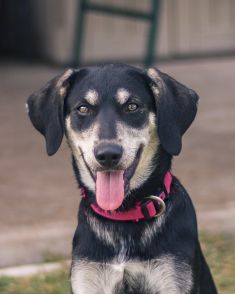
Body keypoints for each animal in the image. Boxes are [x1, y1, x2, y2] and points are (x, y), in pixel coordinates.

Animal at [26, 63, 218, 292]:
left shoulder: (173, 278)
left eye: (132, 106)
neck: (123, 217)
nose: (108, 154)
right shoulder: (88, 278)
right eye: (83, 108)